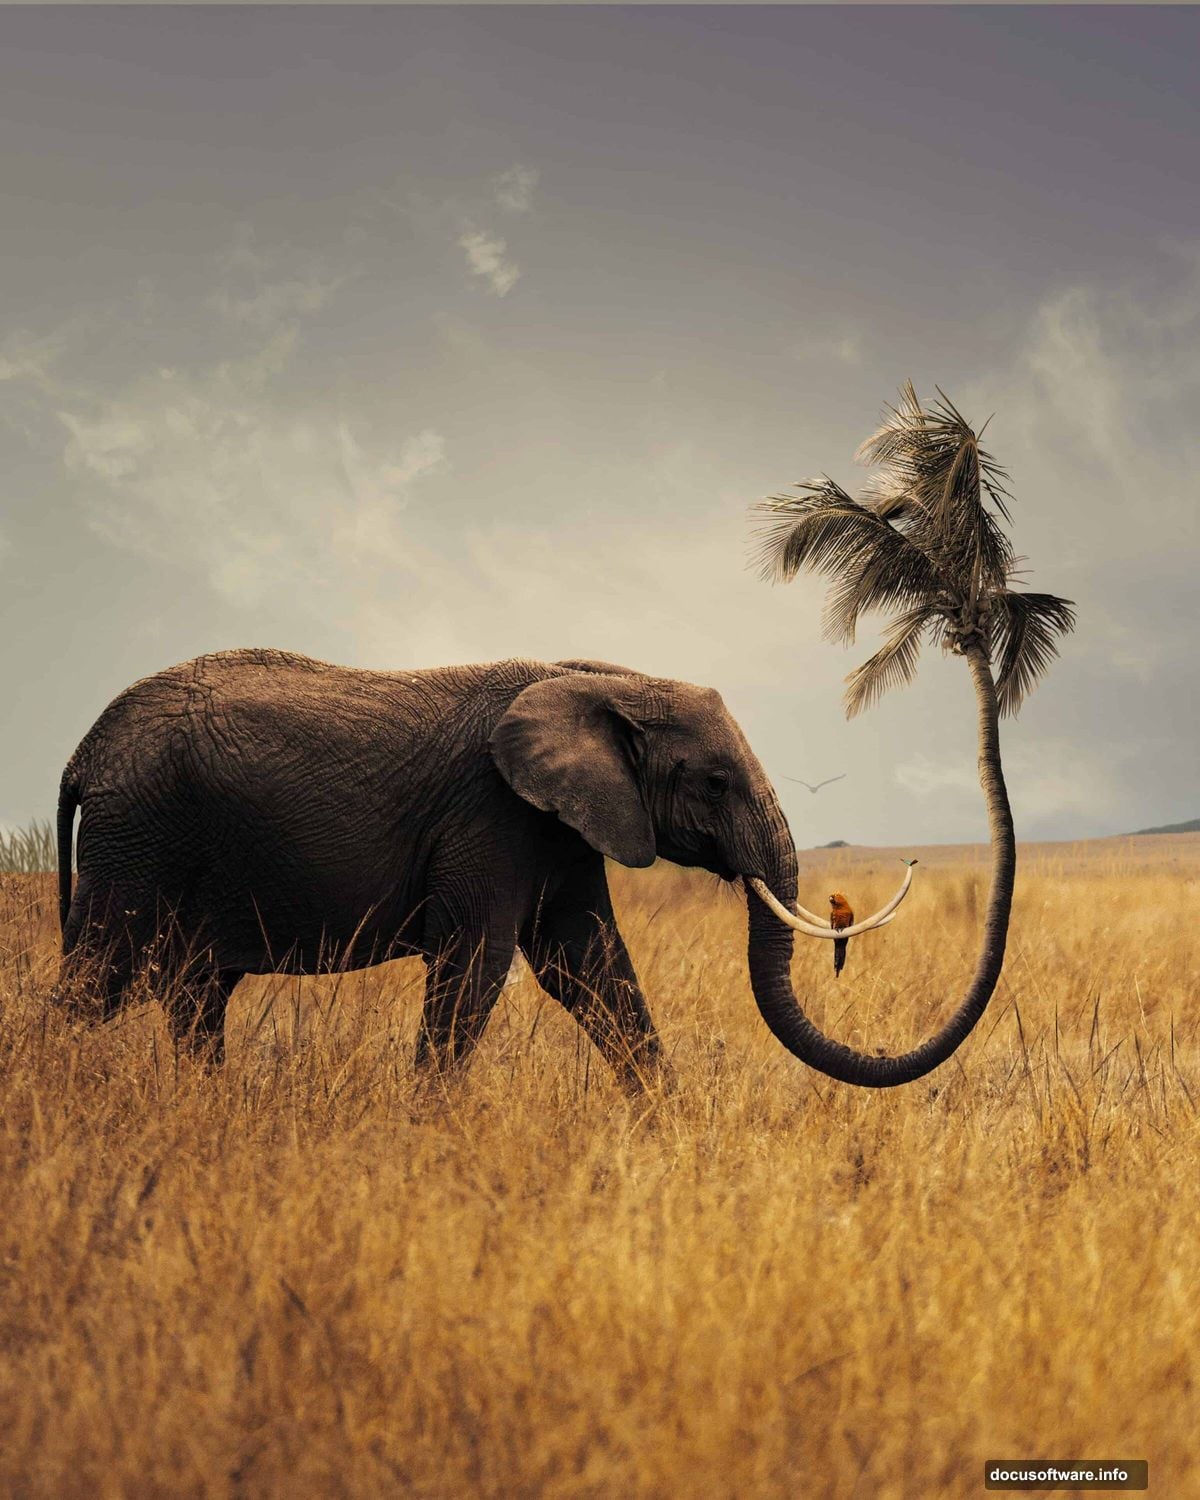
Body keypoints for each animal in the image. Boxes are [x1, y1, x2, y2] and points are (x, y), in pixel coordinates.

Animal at [55, 649, 963, 1088]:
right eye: (713, 783)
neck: (601, 679)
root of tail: (84, 750)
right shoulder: (492, 815)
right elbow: (476, 967)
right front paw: (425, 1134)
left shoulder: (563, 825)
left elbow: (590, 967)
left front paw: (671, 1131)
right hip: (139, 837)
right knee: (98, 979)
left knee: (192, 993)